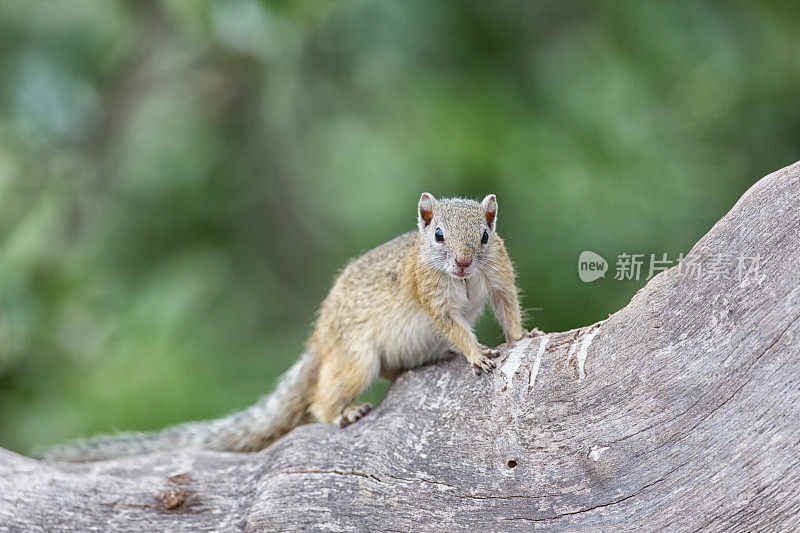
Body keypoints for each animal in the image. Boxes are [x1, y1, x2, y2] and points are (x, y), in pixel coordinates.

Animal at [42, 193, 532, 460]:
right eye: (438, 235)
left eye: (485, 235)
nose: (464, 263)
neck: (463, 281)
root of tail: (320, 340)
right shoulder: (433, 300)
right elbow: (454, 326)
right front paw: (475, 353)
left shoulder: (499, 277)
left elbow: (508, 309)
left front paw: (522, 337)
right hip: (355, 360)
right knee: (321, 399)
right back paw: (343, 412)